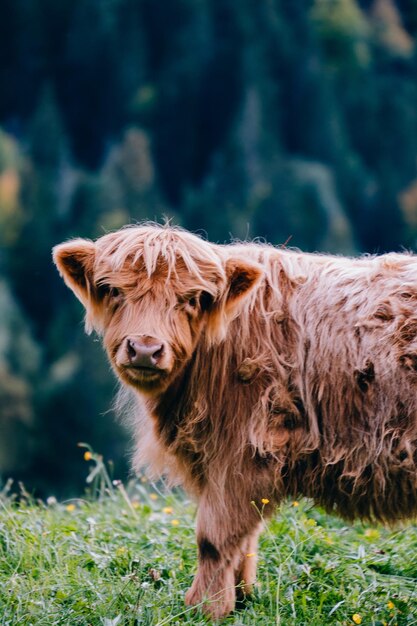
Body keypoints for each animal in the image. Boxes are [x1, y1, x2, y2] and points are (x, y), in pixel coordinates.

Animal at [53, 223, 416, 616]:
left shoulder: (243, 453)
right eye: (113, 290)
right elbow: (244, 537)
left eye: (192, 298)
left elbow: (214, 537)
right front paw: (241, 597)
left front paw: (204, 606)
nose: (145, 349)